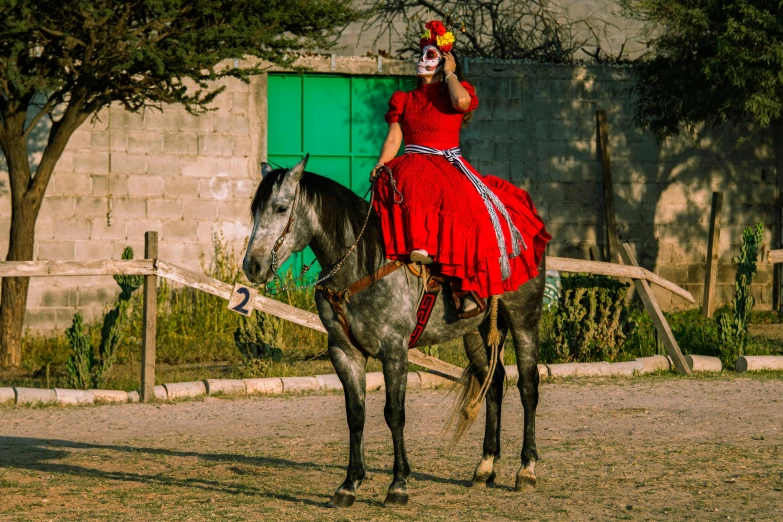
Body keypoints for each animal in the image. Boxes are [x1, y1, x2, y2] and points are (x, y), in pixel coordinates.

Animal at [243, 153, 544, 504]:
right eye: (255, 210)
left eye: (280, 208)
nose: (252, 266)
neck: (361, 265)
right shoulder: (343, 352)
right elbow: (355, 414)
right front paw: (349, 484)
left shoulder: (395, 350)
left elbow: (394, 414)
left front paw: (398, 485)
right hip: (476, 331)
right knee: (493, 384)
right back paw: (485, 467)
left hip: (524, 321)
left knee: (528, 387)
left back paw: (526, 470)